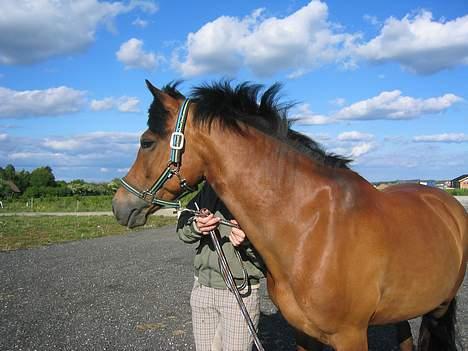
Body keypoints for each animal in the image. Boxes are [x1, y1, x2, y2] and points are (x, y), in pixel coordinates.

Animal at [111, 80, 466, 351]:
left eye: (146, 142)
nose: (119, 205)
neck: (311, 227)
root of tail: (447, 203)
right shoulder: (303, 332)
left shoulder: (350, 336)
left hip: (439, 308)